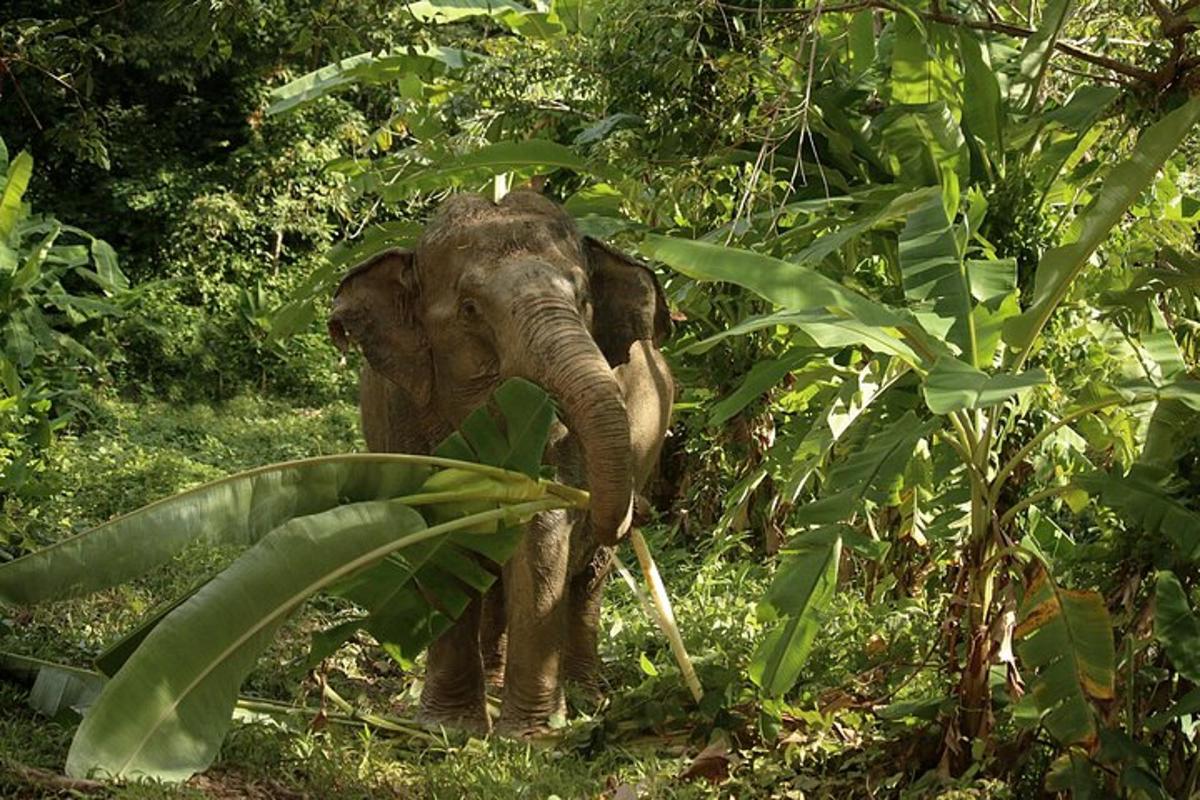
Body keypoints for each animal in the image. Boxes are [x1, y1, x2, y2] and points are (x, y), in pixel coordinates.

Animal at [324, 190, 676, 734]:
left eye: (582, 299)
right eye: (470, 309)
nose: (637, 511)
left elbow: (541, 535)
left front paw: (530, 736)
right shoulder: (400, 416)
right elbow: (439, 536)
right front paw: (447, 727)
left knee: (587, 581)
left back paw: (586, 694)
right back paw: (492, 685)